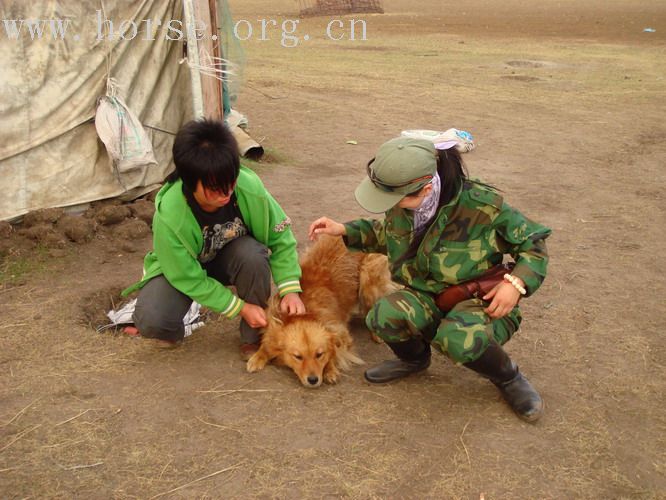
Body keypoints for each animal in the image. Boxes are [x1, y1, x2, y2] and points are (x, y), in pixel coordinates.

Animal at [246, 234, 396, 386]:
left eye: (319, 354)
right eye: (298, 357)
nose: (313, 380)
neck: (307, 312)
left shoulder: (340, 333)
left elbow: (334, 351)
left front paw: (330, 369)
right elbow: (267, 342)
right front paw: (258, 356)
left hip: (368, 276)